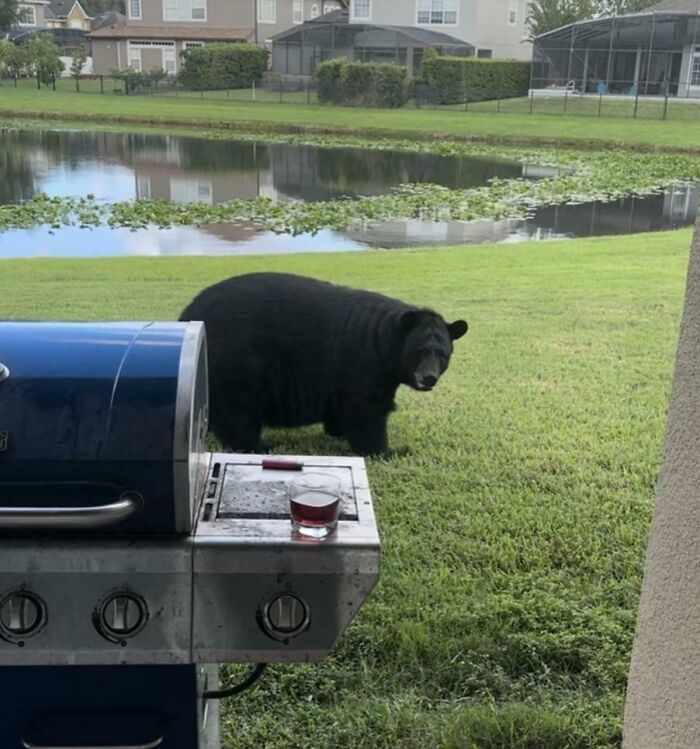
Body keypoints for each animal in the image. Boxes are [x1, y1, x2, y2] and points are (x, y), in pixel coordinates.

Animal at [179, 272, 468, 457]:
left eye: (442, 354)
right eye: (420, 351)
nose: (429, 378)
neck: (385, 340)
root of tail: (187, 315)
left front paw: (337, 431)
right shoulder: (364, 365)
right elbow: (368, 411)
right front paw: (388, 451)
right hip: (238, 361)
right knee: (238, 411)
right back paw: (258, 445)